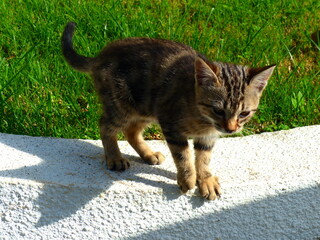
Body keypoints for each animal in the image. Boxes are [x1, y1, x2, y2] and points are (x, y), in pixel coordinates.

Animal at [62, 22, 276, 200]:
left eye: (244, 113)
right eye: (217, 110)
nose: (231, 129)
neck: (203, 120)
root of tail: (101, 55)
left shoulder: (207, 136)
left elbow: (204, 157)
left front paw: (205, 179)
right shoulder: (170, 124)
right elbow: (183, 155)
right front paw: (188, 178)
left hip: (145, 108)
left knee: (131, 132)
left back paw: (148, 154)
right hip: (122, 106)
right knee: (105, 125)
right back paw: (115, 157)